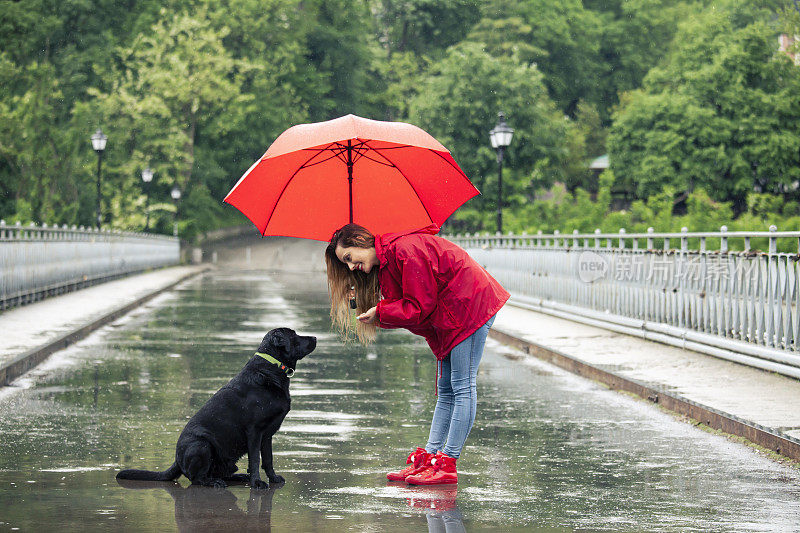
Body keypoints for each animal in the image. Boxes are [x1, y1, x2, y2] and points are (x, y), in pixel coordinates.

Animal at [115, 326, 316, 488]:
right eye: (294, 336)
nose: (315, 337)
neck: (271, 367)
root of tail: (177, 461)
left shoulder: (267, 435)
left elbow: (267, 460)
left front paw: (273, 479)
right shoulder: (254, 431)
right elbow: (255, 459)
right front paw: (257, 483)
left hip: (225, 459)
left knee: (221, 473)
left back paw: (239, 477)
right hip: (202, 445)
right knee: (197, 478)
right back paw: (214, 483)